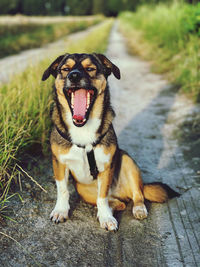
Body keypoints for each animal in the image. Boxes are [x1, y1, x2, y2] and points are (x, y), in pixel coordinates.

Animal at [41, 53, 179, 231]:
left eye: (90, 68)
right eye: (65, 69)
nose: (74, 76)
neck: (83, 128)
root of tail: (120, 193)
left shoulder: (106, 167)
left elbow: (103, 195)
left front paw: (106, 218)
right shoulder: (59, 162)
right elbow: (63, 190)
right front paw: (60, 211)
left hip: (127, 160)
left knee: (137, 194)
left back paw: (137, 209)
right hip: (84, 191)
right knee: (119, 204)